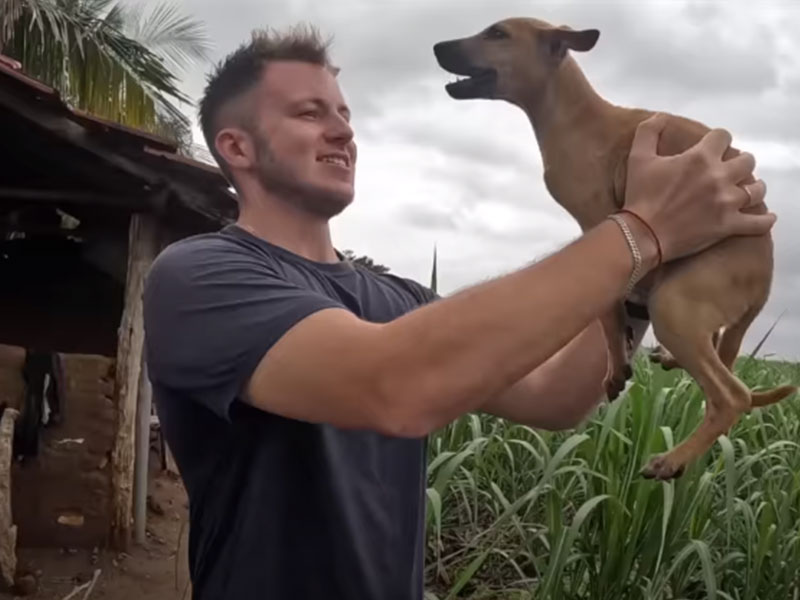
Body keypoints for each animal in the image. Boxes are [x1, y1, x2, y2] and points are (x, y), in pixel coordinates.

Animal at [434, 16, 796, 480]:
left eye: (498, 34)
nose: (437, 46)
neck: (573, 114)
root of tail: (763, 287)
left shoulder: (598, 220)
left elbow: (607, 312)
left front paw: (615, 363)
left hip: (675, 304)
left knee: (733, 395)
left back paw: (673, 459)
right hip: (692, 305)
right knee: (719, 353)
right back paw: (670, 362)